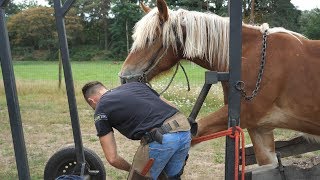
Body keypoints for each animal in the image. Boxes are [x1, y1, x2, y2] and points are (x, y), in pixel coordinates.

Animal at [119, 0, 320, 166]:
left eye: (151, 38)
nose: (124, 78)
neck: (248, 57)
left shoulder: (243, 114)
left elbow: (192, 133)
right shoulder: (260, 128)